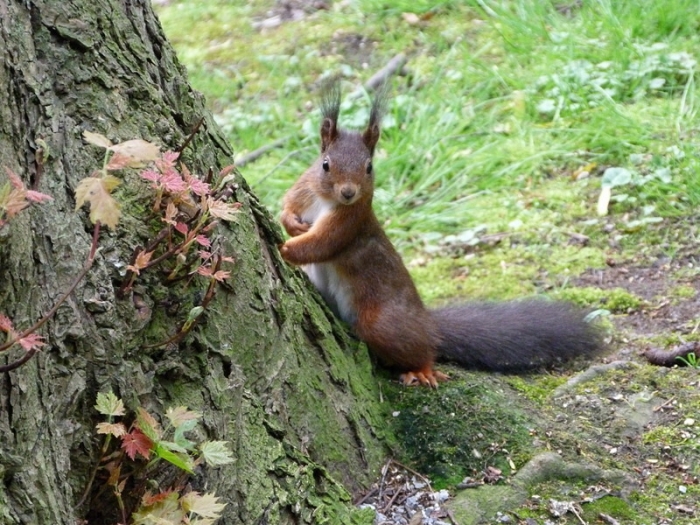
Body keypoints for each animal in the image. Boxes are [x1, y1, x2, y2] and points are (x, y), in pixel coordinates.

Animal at [278, 80, 603, 386]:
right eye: (325, 164)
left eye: (369, 167)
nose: (348, 192)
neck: (326, 201)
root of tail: (427, 321)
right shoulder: (305, 187)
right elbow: (289, 203)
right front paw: (289, 223)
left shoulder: (351, 221)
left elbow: (322, 243)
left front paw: (284, 249)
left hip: (382, 323)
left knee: (420, 348)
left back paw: (422, 369)